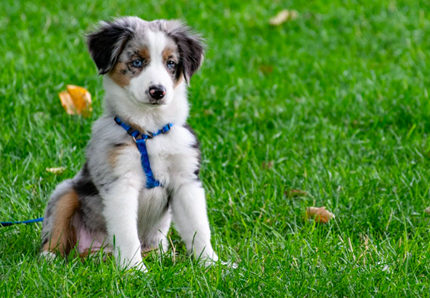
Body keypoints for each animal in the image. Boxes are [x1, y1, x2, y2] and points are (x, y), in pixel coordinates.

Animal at [41, 17, 227, 272]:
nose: (157, 91)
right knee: (56, 231)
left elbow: (198, 228)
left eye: (171, 63)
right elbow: (128, 233)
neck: (149, 131)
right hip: (65, 191)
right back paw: (50, 258)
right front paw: (134, 271)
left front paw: (212, 265)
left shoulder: (186, 181)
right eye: (137, 62)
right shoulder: (120, 183)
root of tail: (95, 252)